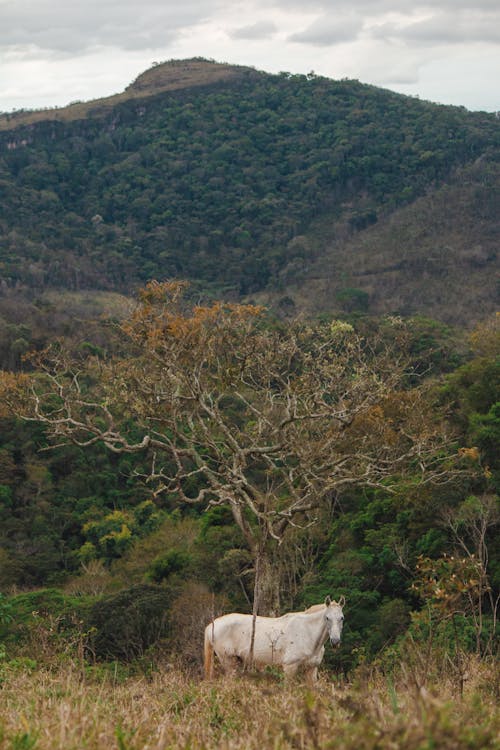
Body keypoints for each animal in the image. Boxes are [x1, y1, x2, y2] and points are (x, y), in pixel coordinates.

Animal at [203, 596, 344, 684]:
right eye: (327, 618)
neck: (308, 633)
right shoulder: (289, 668)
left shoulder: (311, 669)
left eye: (342, 618)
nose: (335, 642)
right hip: (229, 663)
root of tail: (211, 625)